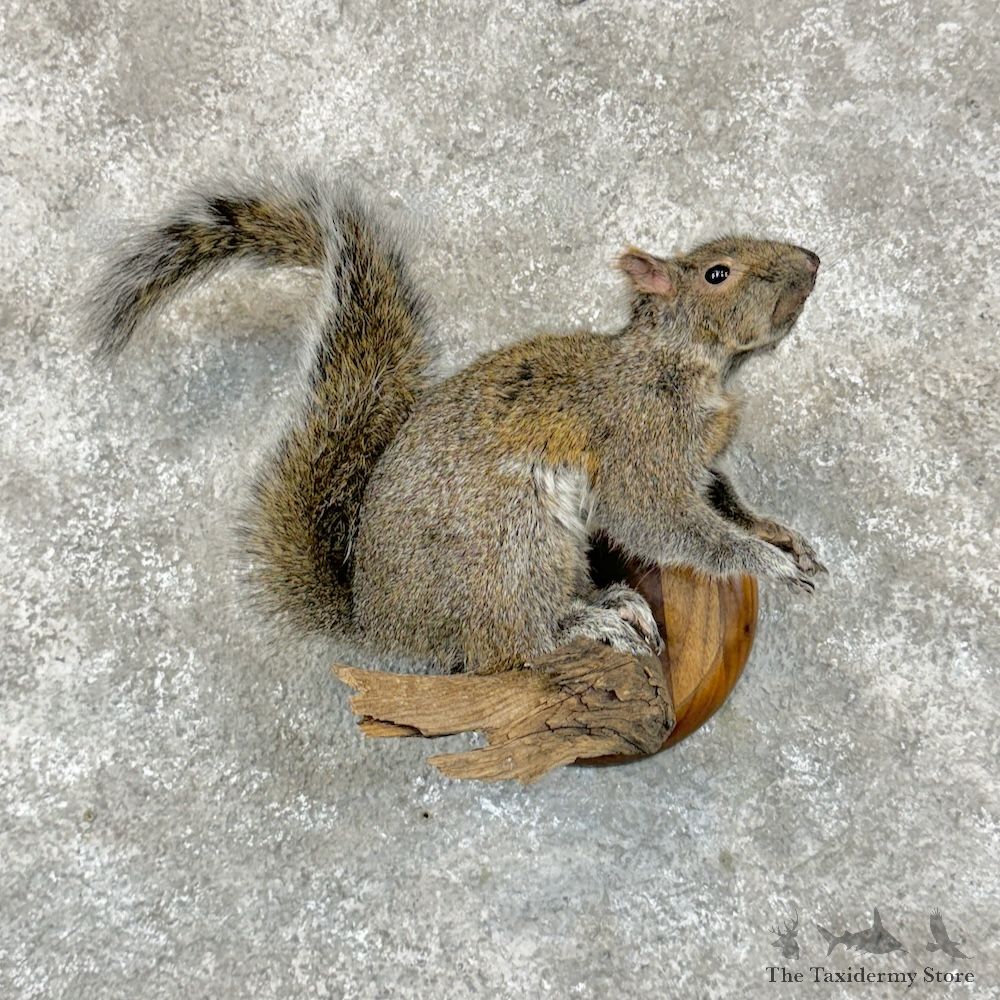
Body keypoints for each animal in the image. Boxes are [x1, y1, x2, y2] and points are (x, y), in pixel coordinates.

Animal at [88, 170, 826, 674]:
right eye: (717, 273)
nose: (813, 260)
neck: (698, 367)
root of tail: (382, 628)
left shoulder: (700, 458)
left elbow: (722, 499)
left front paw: (780, 537)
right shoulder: (637, 443)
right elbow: (663, 521)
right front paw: (763, 562)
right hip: (514, 544)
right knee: (513, 644)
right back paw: (593, 621)